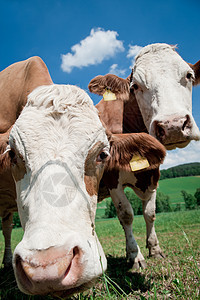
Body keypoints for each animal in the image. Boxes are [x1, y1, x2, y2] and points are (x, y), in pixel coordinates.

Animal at [0, 58, 166, 296]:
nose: (49, 266)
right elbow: (127, 213)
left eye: (102, 154)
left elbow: (148, 213)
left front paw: (150, 251)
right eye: (12, 154)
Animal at [88, 43, 200, 268]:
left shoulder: (153, 172)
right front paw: (134, 255)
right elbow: (126, 214)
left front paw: (154, 249)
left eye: (189, 75)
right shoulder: (112, 177)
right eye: (135, 86)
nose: (173, 125)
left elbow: (150, 213)